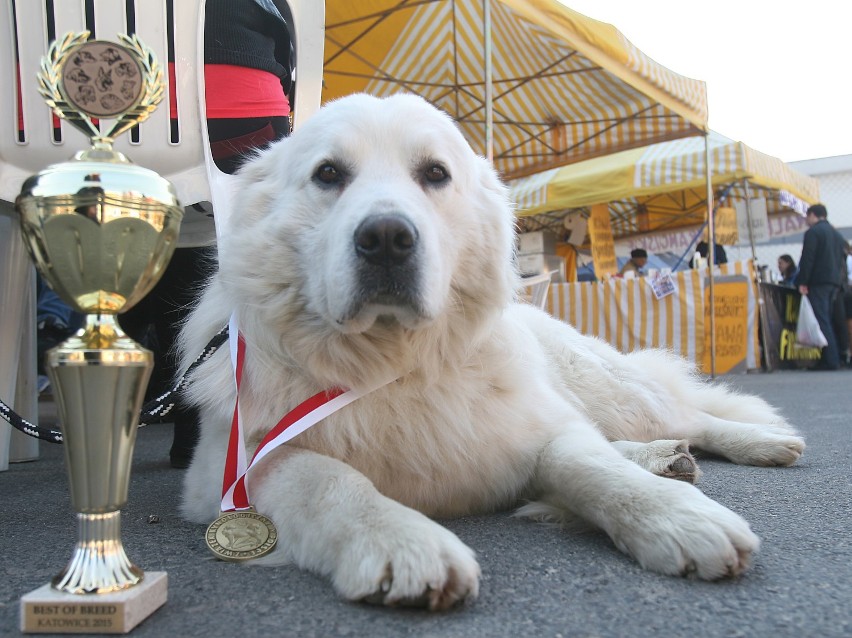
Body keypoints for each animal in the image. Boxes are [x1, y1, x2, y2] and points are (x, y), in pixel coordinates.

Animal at [180, 92, 804, 612]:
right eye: (328, 174)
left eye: (434, 174)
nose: (386, 238)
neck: (395, 365)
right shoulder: (235, 469)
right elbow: (329, 480)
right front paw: (402, 541)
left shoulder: (539, 427)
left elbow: (588, 464)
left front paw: (675, 517)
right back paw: (665, 458)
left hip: (611, 390)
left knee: (690, 416)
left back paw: (759, 443)